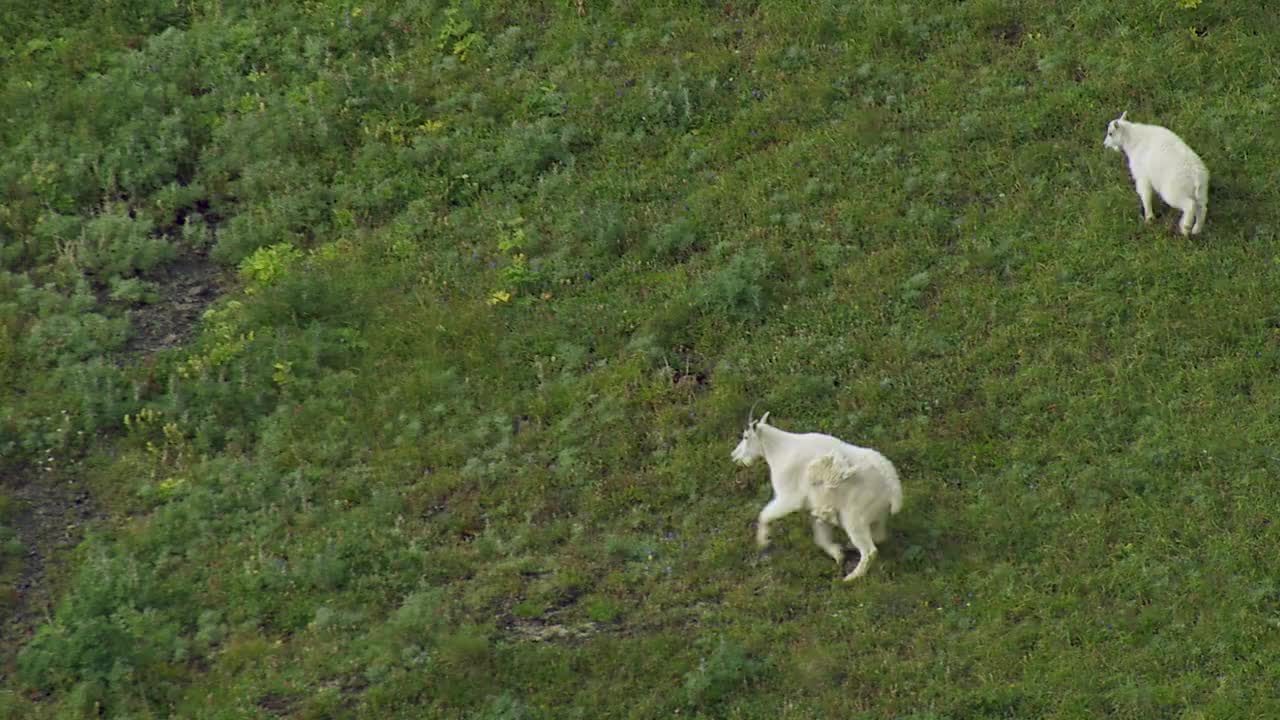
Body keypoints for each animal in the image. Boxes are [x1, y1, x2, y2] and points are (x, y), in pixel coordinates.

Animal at [737, 409, 906, 576]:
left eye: (746, 437)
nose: (735, 456)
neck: (778, 450)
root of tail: (893, 489)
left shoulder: (789, 498)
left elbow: (765, 514)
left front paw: (763, 541)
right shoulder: (817, 506)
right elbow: (820, 537)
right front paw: (838, 555)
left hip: (854, 517)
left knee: (870, 551)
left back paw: (852, 577)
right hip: (876, 513)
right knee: (879, 536)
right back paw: (850, 547)